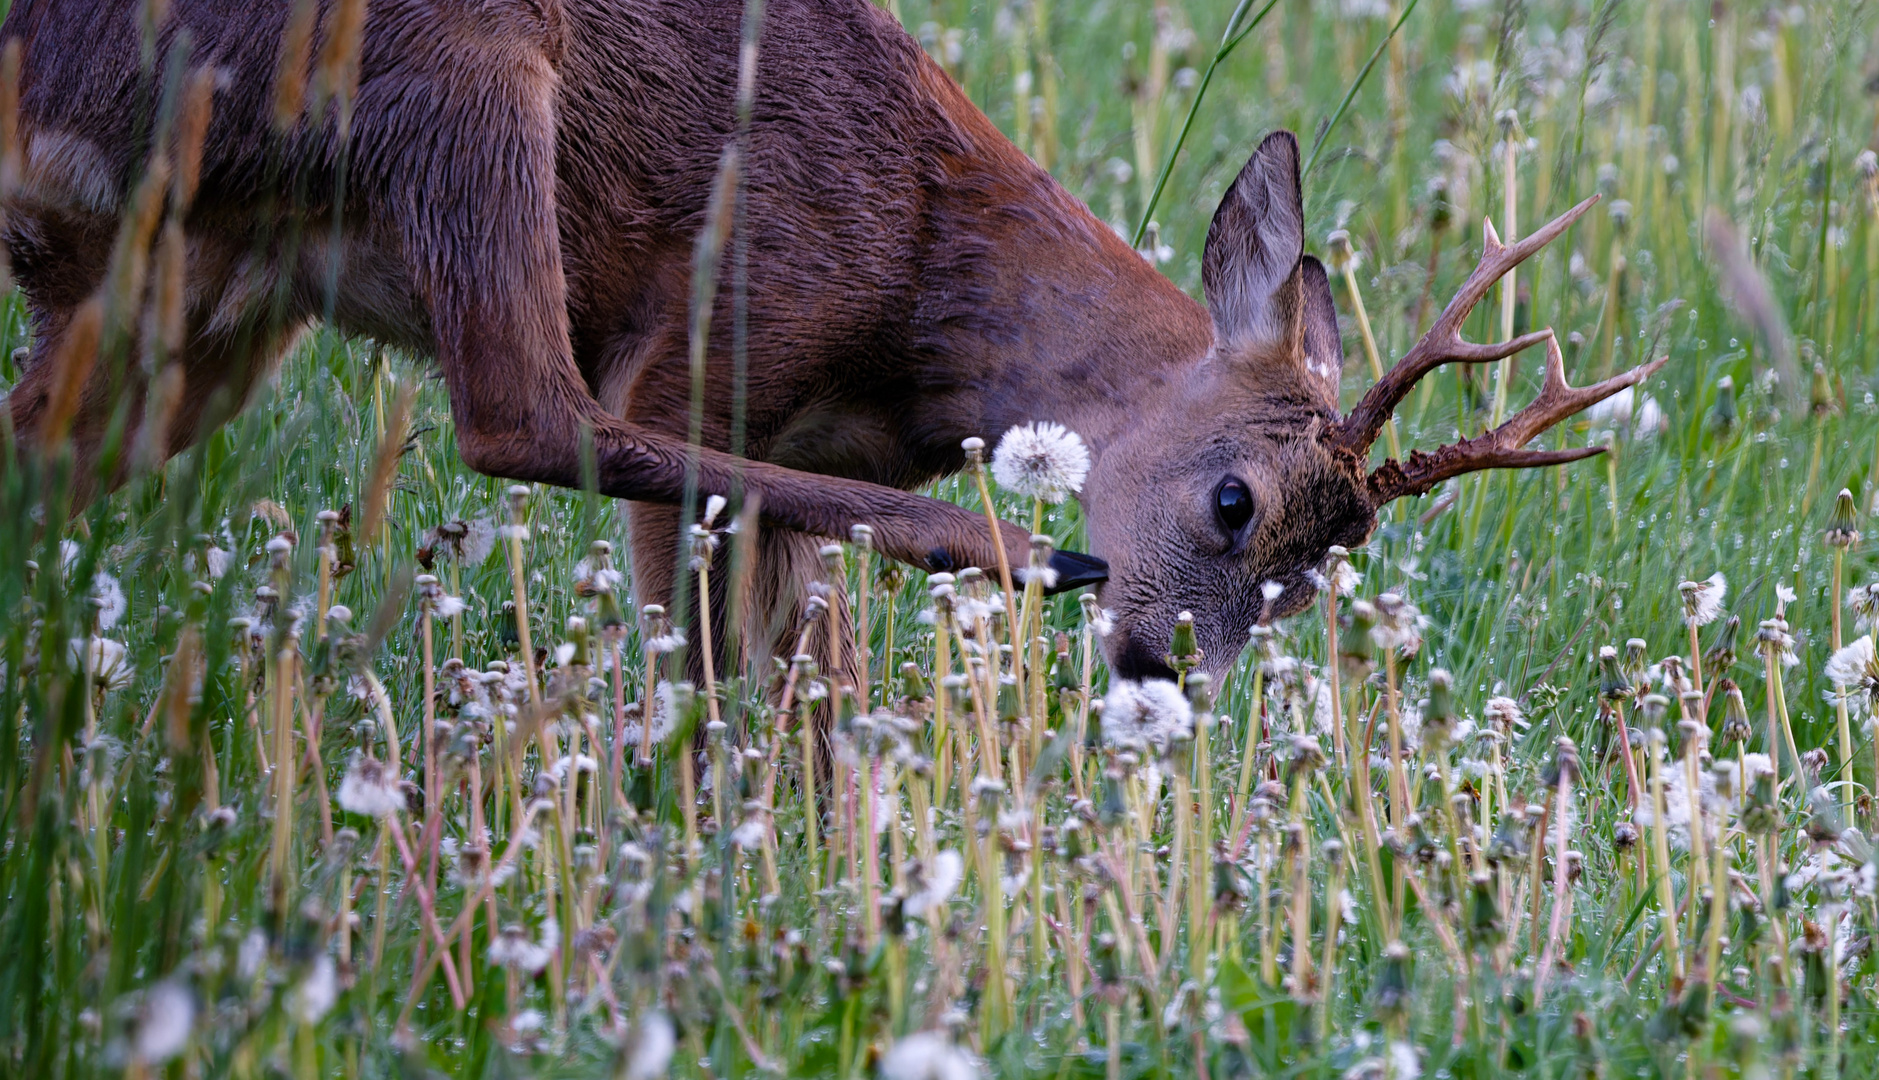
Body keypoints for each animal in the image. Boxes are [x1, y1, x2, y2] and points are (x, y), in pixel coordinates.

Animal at [0, 0, 1653, 676]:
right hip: (458, 80)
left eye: (1316, 583)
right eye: (1231, 500)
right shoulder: (708, 346)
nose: (1160, 670)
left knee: (41, 444)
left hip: (197, 297)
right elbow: (710, 634)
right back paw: (1007, 548)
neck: (922, 283)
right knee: (522, 412)